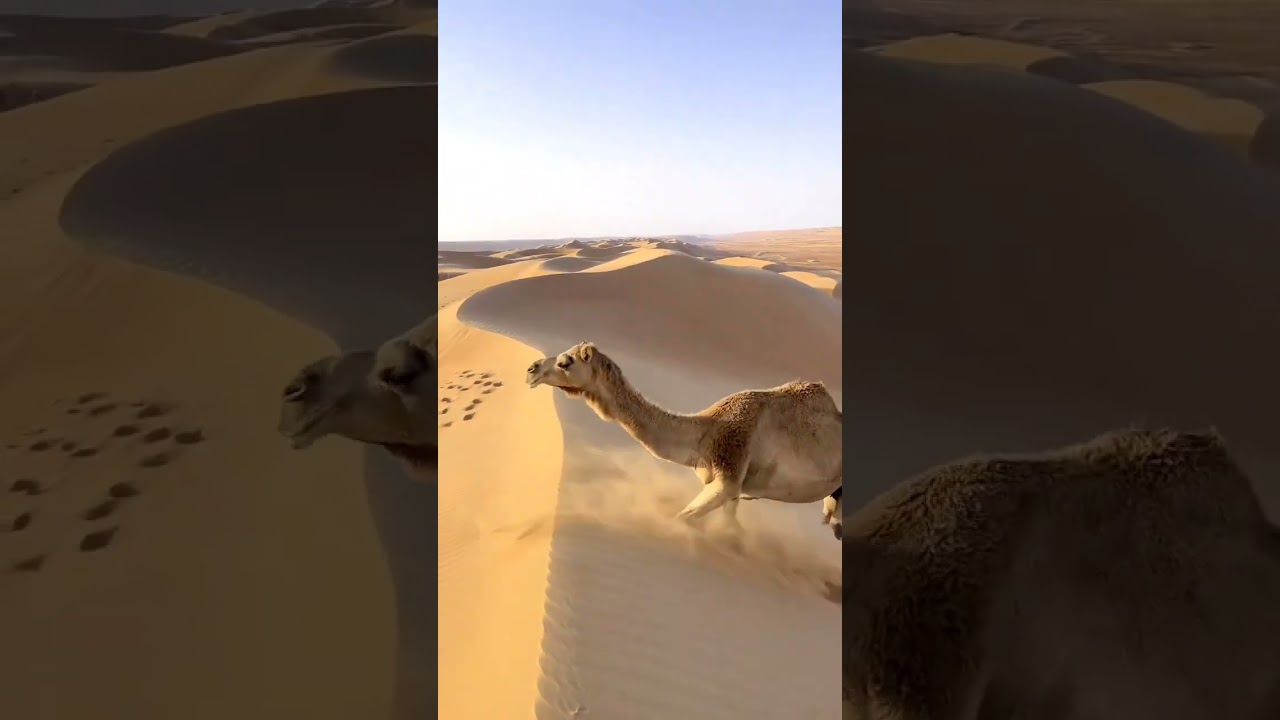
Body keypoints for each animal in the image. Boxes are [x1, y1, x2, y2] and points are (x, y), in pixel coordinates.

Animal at [525, 343, 843, 536]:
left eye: (566, 362)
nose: (531, 369)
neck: (706, 433)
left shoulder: (729, 472)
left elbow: (682, 519)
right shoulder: (733, 489)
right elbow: (732, 529)